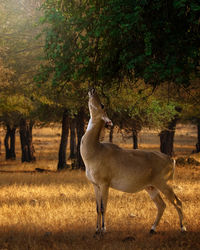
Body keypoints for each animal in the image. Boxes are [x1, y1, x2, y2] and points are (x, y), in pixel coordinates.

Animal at [80, 88, 187, 234]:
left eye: (102, 105)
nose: (92, 90)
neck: (94, 151)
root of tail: (172, 160)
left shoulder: (104, 183)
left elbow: (103, 207)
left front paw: (104, 230)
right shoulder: (95, 184)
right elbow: (97, 208)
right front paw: (96, 230)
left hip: (164, 183)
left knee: (177, 202)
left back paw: (183, 227)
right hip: (151, 187)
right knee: (162, 205)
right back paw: (152, 229)